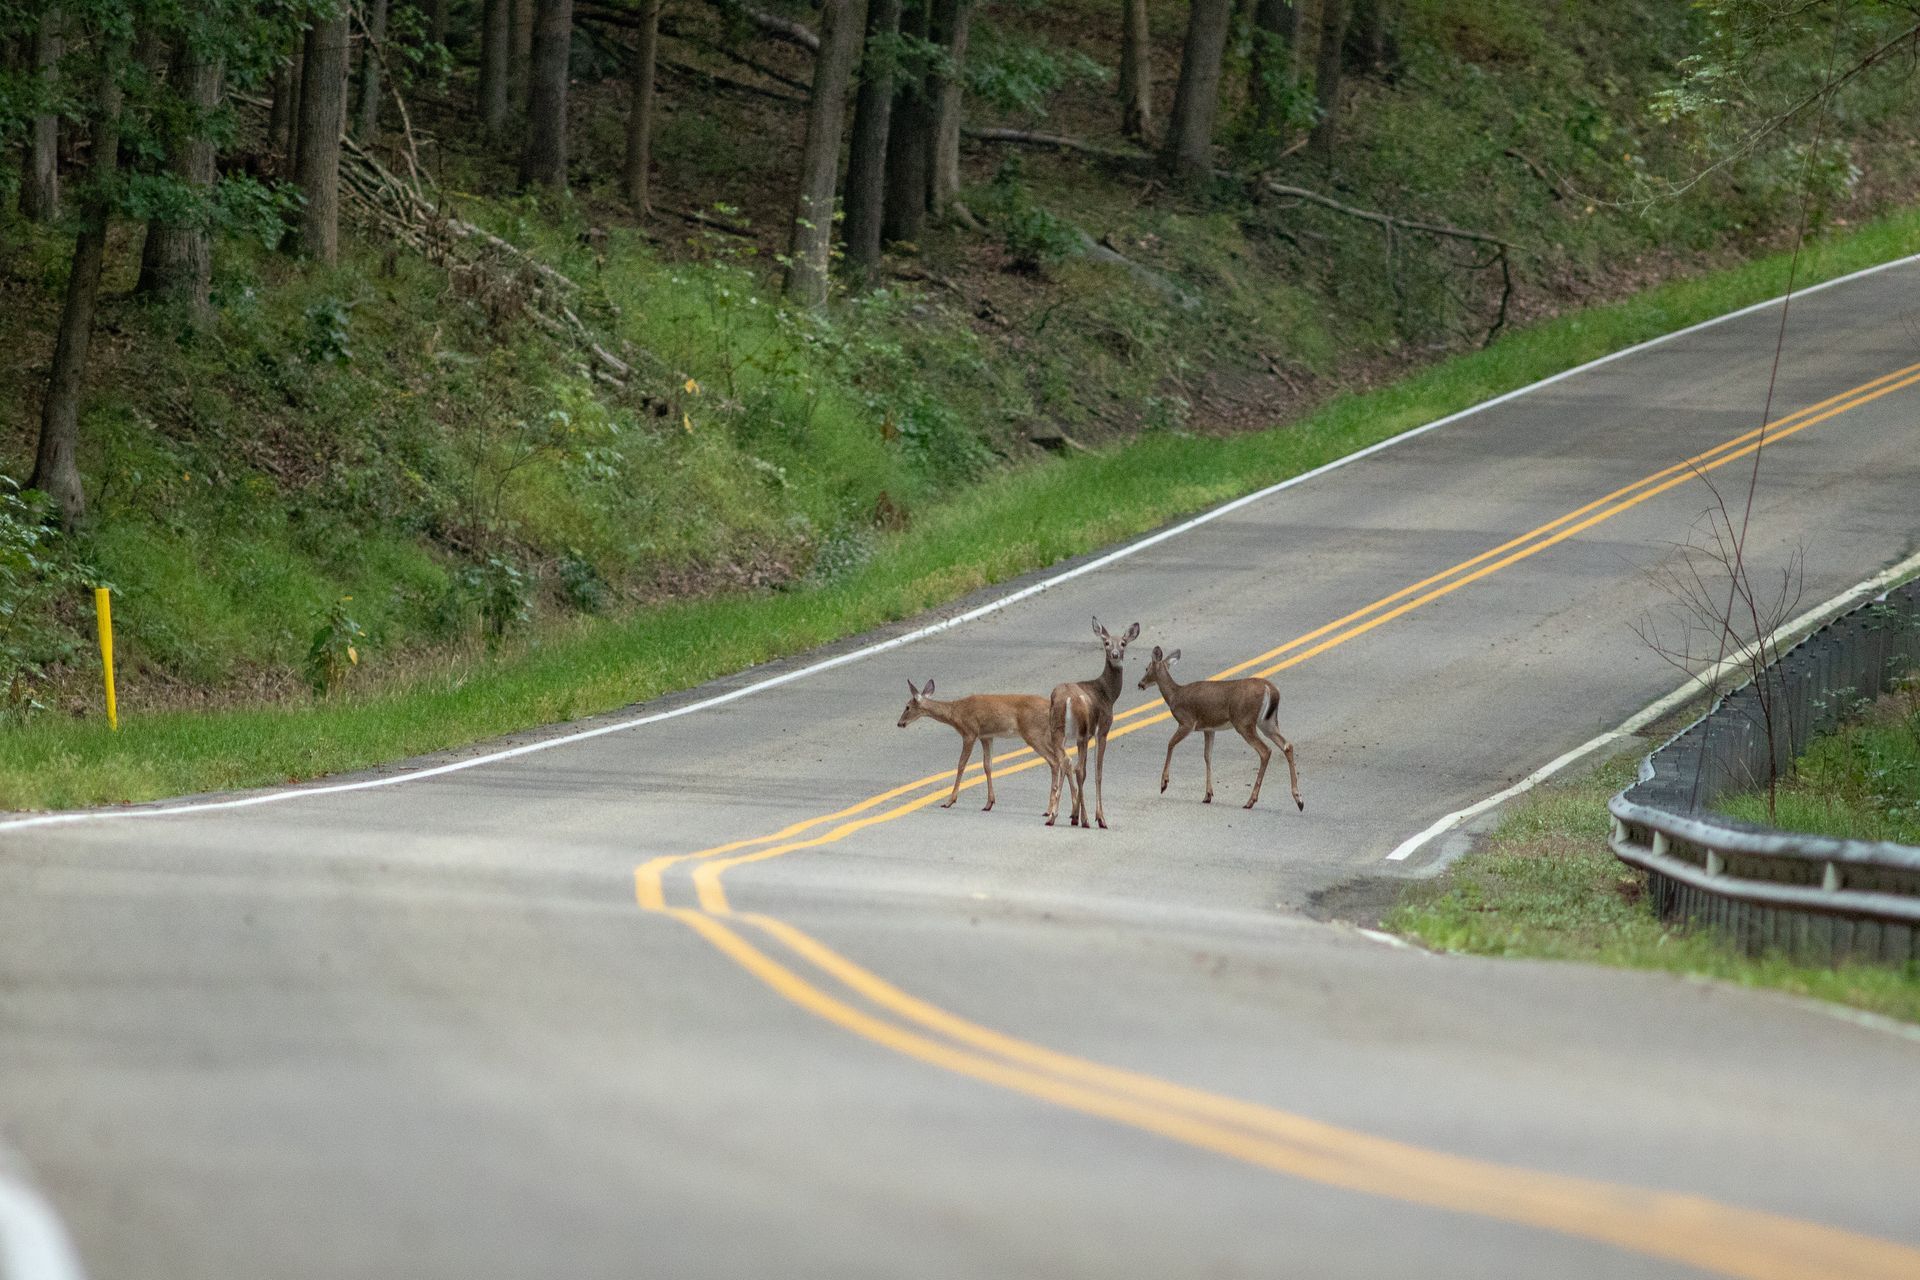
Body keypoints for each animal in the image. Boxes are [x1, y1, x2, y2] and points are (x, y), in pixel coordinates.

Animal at [897, 679, 1068, 812]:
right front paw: (989, 803)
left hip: (1034, 733)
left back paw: (1049, 810)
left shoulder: (969, 732)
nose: (899, 723)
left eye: (907, 706)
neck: (955, 713)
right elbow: (987, 765)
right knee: (1063, 759)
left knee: (1054, 760)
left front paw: (949, 801)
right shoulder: (986, 736)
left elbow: (961, 765)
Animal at [1045, 618, 1139, 830]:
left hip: (1058, 730)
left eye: (1123, 643)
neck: (1107, 694)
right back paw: (1086, 819)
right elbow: (1097, 773)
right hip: (1081, 731)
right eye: (1106, 643)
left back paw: (1053, 816)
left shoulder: (1082, 736)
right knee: (1076, 767)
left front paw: (1073, 815)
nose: (1115, 654)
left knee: (1062, 762)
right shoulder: (1101, 730)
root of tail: (1066, 699)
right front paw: (1100, 818)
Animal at [1136, 645, 1304, 812]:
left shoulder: (1187, 722)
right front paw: (1208, 795)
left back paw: (1251, 801)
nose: (1140, 684)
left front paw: (1164, 784)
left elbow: (1170, 743)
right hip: (1267, 722)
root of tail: (1270, 689)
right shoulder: (1209, 729)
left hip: (1244, 721)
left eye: (1147, 668)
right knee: (1287, 745)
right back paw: (1299, 800)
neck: (1174, 695)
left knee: (1265, 750)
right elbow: (1207, 756)